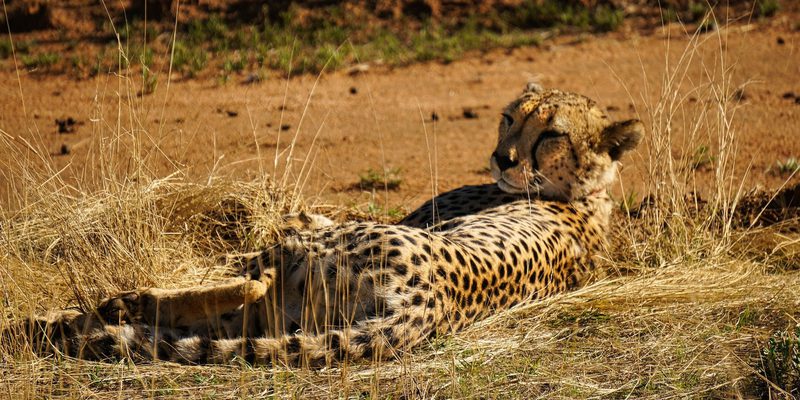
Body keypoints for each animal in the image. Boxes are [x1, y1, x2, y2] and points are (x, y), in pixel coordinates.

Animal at [8, 83, 643, 367]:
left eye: (552, 133)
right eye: (510, 118)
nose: (502, 159)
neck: (586, 193)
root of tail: (427, 306)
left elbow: (292, 222)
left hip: (313, 260)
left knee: (250, 279)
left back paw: (108, 305)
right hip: (294, 312)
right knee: (231, 309)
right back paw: (66, 322)